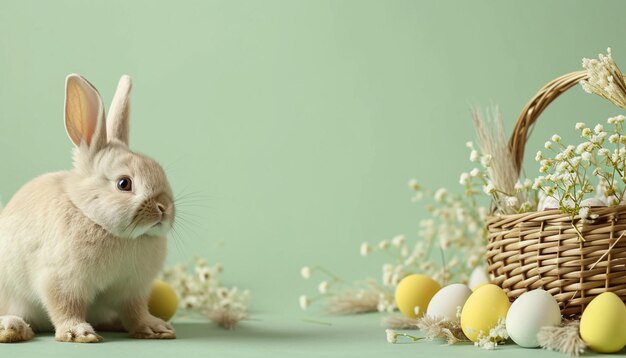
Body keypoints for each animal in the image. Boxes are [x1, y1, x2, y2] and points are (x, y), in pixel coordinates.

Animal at [0, 74, 176, 342]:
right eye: (124, 183)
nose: (163, 208)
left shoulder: (132, 289)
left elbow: (135, 311)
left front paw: (155, 328)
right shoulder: (60, 280)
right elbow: (66, 307)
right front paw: (78, 333)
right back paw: (12, 327)